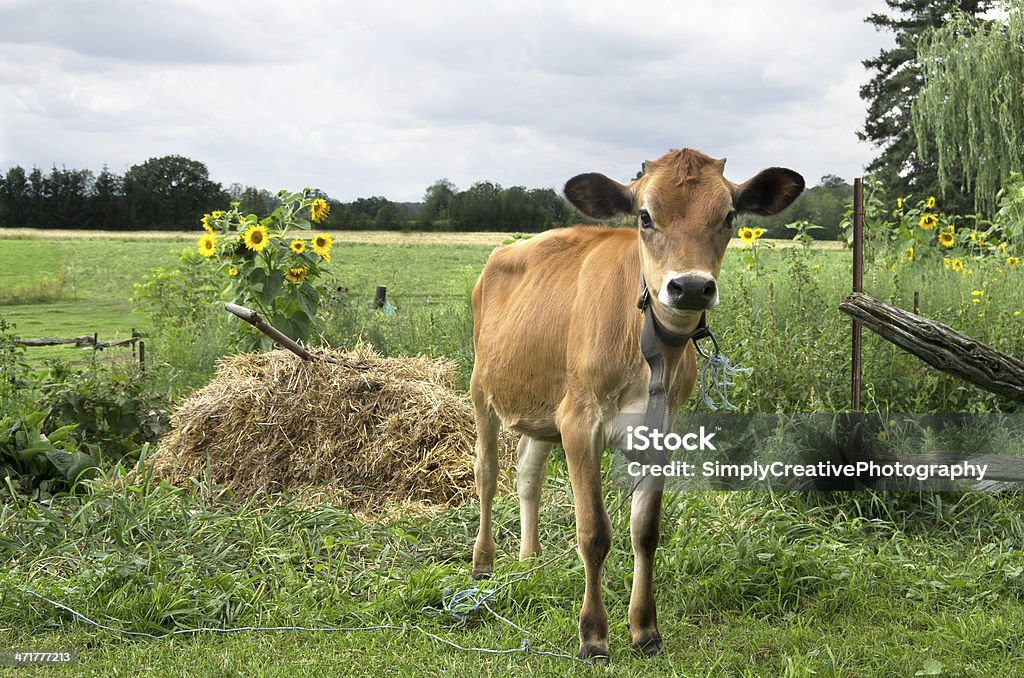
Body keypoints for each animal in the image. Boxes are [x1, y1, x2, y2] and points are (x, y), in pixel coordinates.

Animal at [468, 148, 802, 663]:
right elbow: (594, 533)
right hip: (482, 388)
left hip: (544, 408)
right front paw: (593, 635)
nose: (690, 287)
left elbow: (645, 530)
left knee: (527, 473)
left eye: (729, 216)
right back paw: (483, 562)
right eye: (645, 216)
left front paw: (645, 629)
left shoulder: (660, 430)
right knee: (486, 475)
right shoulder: (580, 421)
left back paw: (531, 560)